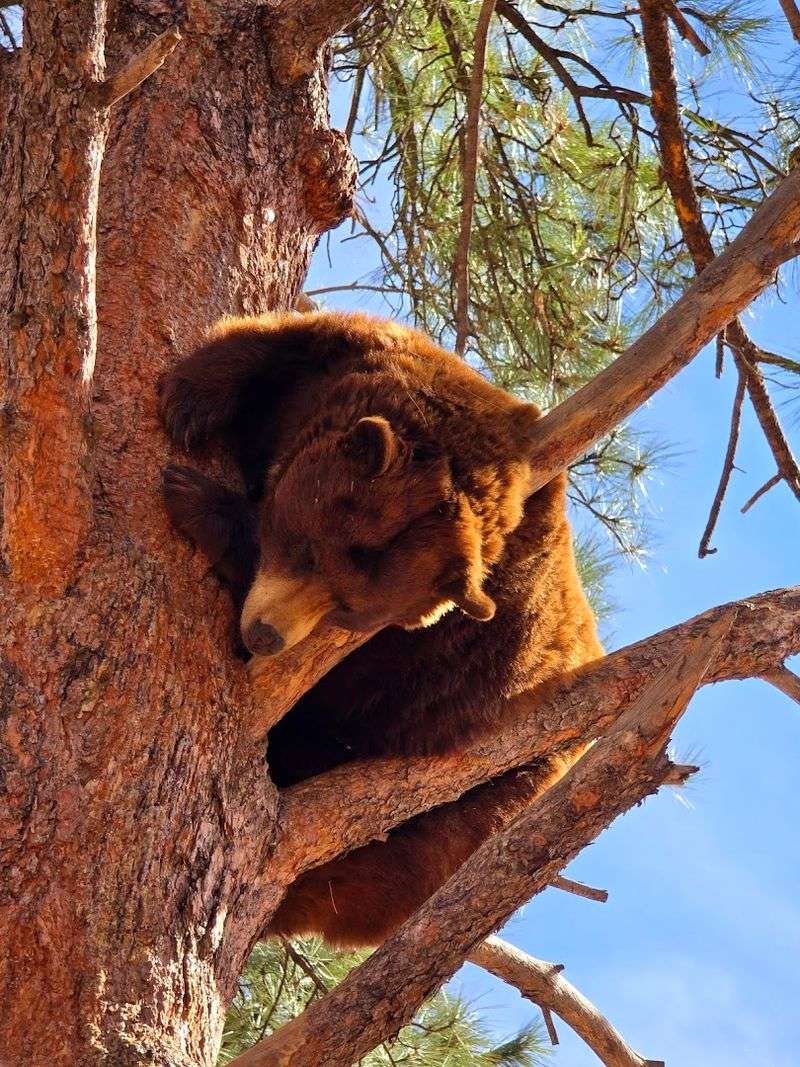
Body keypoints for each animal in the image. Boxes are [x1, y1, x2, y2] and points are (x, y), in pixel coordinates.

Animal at [159, 310, 602, 946]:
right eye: (305, 549)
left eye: (349, 611)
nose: (266, 635)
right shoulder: (368, 369)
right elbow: (286, 339)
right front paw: (189, 400)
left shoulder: (418, 652)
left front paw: (198, 499)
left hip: (478, 793)